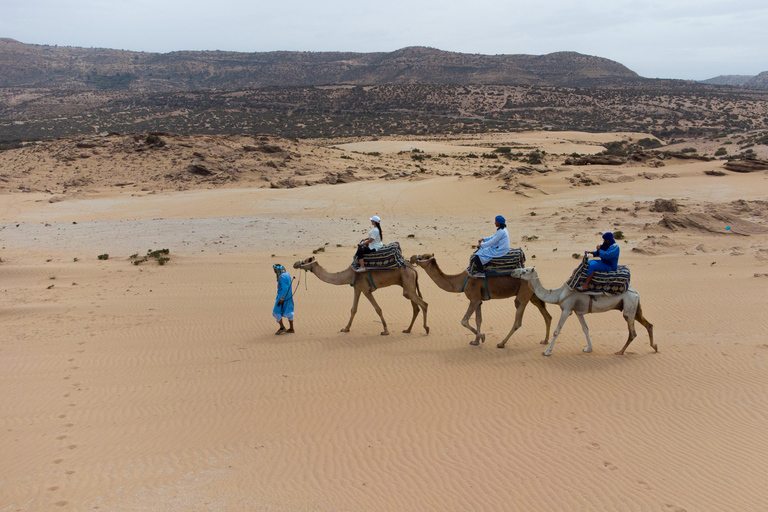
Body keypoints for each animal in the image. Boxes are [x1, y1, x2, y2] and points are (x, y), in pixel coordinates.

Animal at [294, 256, 428, 336]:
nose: (295, 264)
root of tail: (414, 269)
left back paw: (426, 328)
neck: (350, 274)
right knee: (415, 307)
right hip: (407, 284)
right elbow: (353, 309)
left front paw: (385, 330)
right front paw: (345, 328)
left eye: (305, 261)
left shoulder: (365, 289)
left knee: (424, 304)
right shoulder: (357, 288)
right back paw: (407, 330)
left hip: (408, 282)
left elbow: (378, 309)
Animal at [412, 253, 548, 348]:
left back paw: (501, 343)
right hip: (533, 295)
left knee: (518, 321)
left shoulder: (474, 298)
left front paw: (482, 336)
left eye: (424, 256)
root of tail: (535, 275)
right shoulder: (478, 300)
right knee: (547, 316)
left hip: (523, 294)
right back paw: (545, 341)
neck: (461, 281)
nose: (412, 257)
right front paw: (475, 341)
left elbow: (464, 321)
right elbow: (478, 319)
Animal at [512, 268, 656, 356]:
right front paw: (588, 348)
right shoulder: (578, 312)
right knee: (648, 324)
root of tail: (636, 292)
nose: (513, 271)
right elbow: (585, 329)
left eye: (525, 270)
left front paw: (547, 351)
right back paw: (654, 346)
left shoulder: (567, 309)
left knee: (633, 332)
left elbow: (557, 331)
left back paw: (620, 352)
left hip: (629, 306)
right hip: (634, 307)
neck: (558, 294)